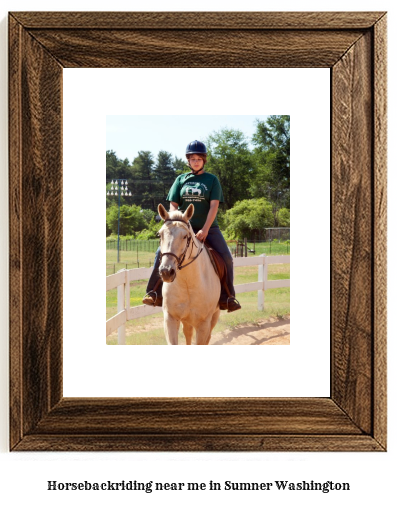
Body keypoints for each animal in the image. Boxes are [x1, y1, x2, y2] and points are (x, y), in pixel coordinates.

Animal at [157, 202, 220, 346]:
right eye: (160, 235)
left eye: (185, 236)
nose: (166, 272)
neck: (187, 282)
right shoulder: (170, 319)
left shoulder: (203, 324)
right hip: (187, 320)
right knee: (188, 334)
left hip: (214, 316)